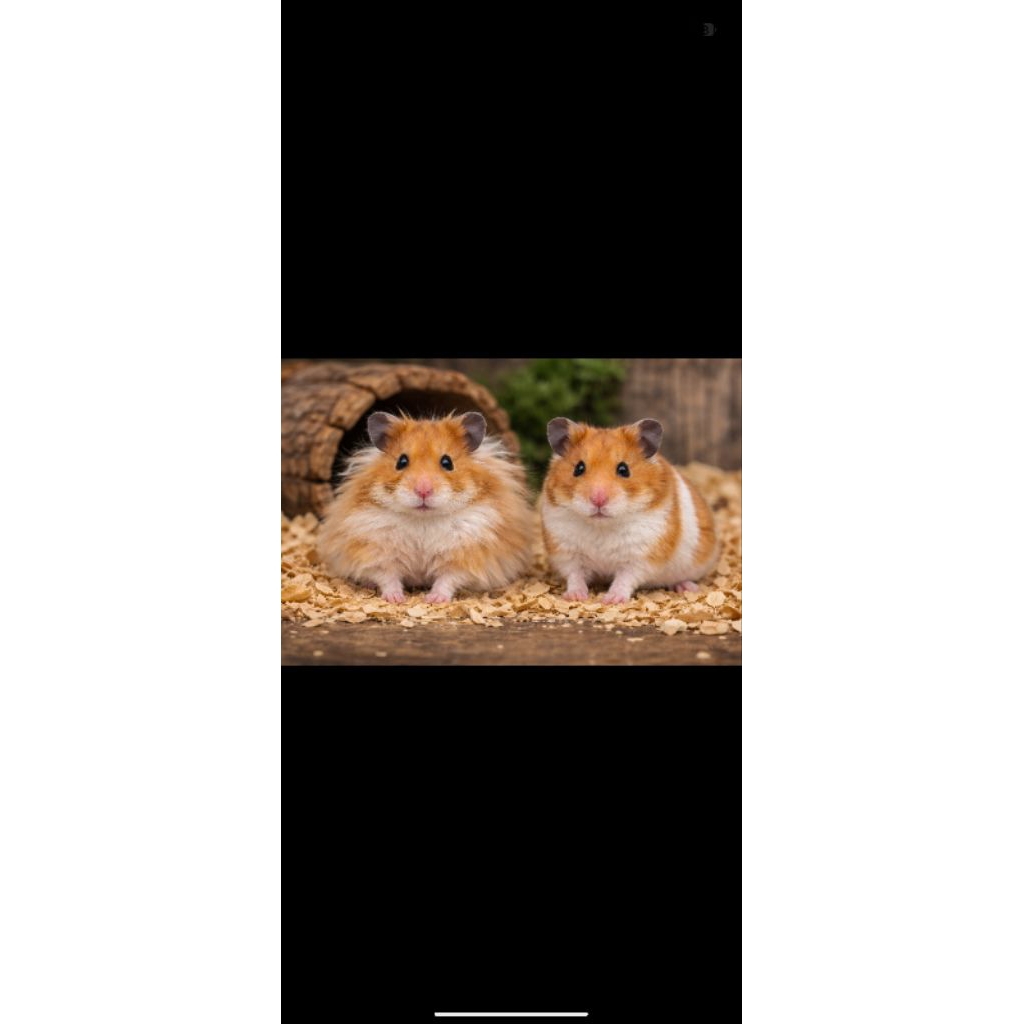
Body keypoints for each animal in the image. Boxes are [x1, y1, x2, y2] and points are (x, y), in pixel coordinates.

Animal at [317, 411, 534, 604]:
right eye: (401, 461)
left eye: (447, 462)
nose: (423, 491)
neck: (423, 519)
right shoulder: (376, 552)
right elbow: (387, 577)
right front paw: (396, 599)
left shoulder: (466, 555)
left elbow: (448, 579)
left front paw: (434, 600)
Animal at [539, 417, 720, 604]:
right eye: (578, 468)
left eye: (623, 469)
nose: (598, 500)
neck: (602, 526)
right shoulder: (567, 552)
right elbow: (575, 576)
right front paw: (574, 597)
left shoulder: (639, 557)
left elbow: (624, 579)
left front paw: (612, 599)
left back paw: (687, 587)